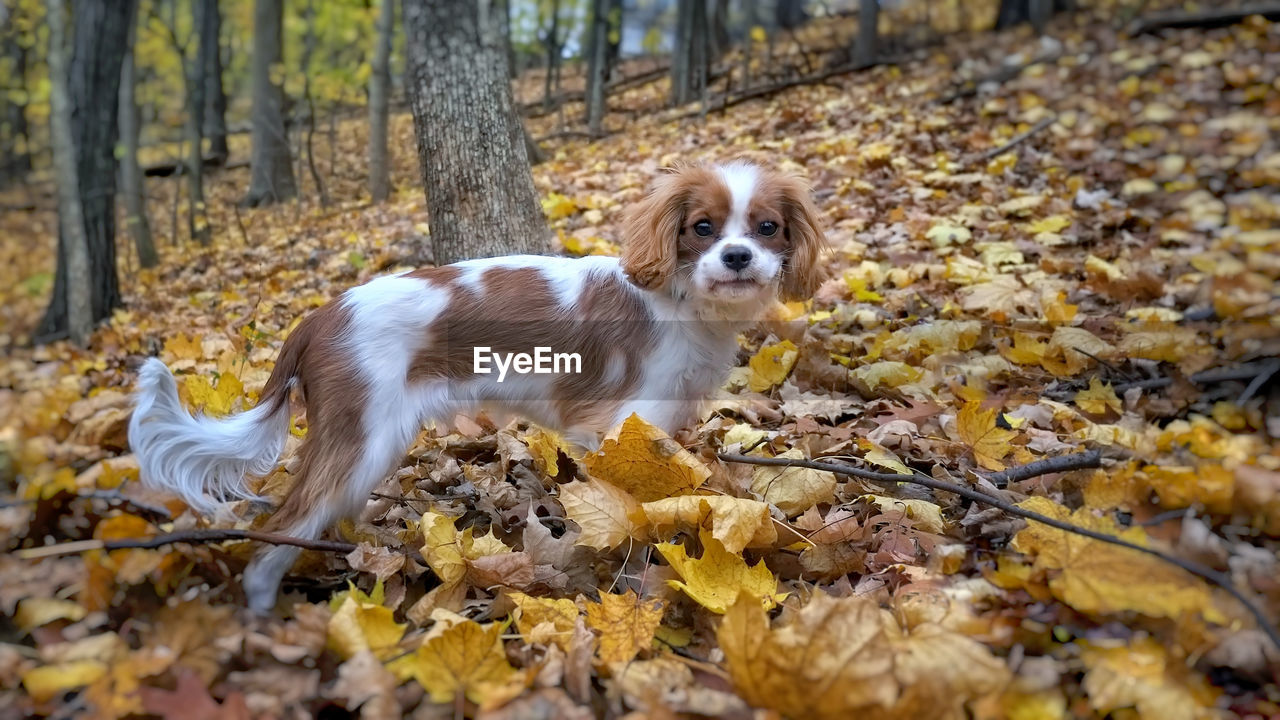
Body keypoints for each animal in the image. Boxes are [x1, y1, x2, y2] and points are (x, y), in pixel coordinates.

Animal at [132, 159, 829, 607]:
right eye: (701, 228)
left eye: (766, 228)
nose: (737, 257)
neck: (681, 300)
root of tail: (320, 315)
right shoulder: (623, 424)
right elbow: (630, 508)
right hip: (363, 437)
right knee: (284, 527)